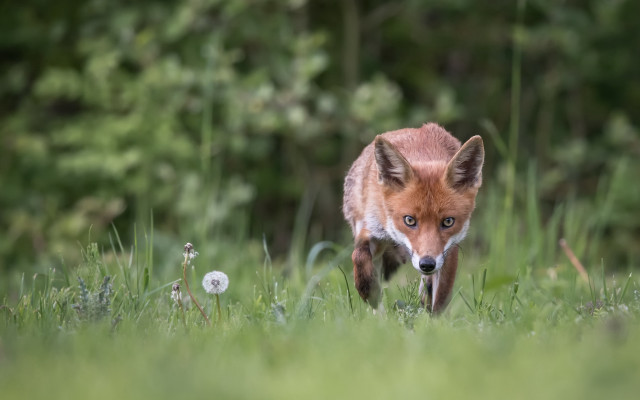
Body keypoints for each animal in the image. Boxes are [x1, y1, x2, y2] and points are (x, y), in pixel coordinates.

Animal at [343, 123, 484, 313]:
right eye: (409, 220)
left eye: (448, 222)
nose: (427, 264)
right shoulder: (372, 229)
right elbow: (359, 257)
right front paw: (369, 292)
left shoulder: (449, 251)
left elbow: (439, 299)